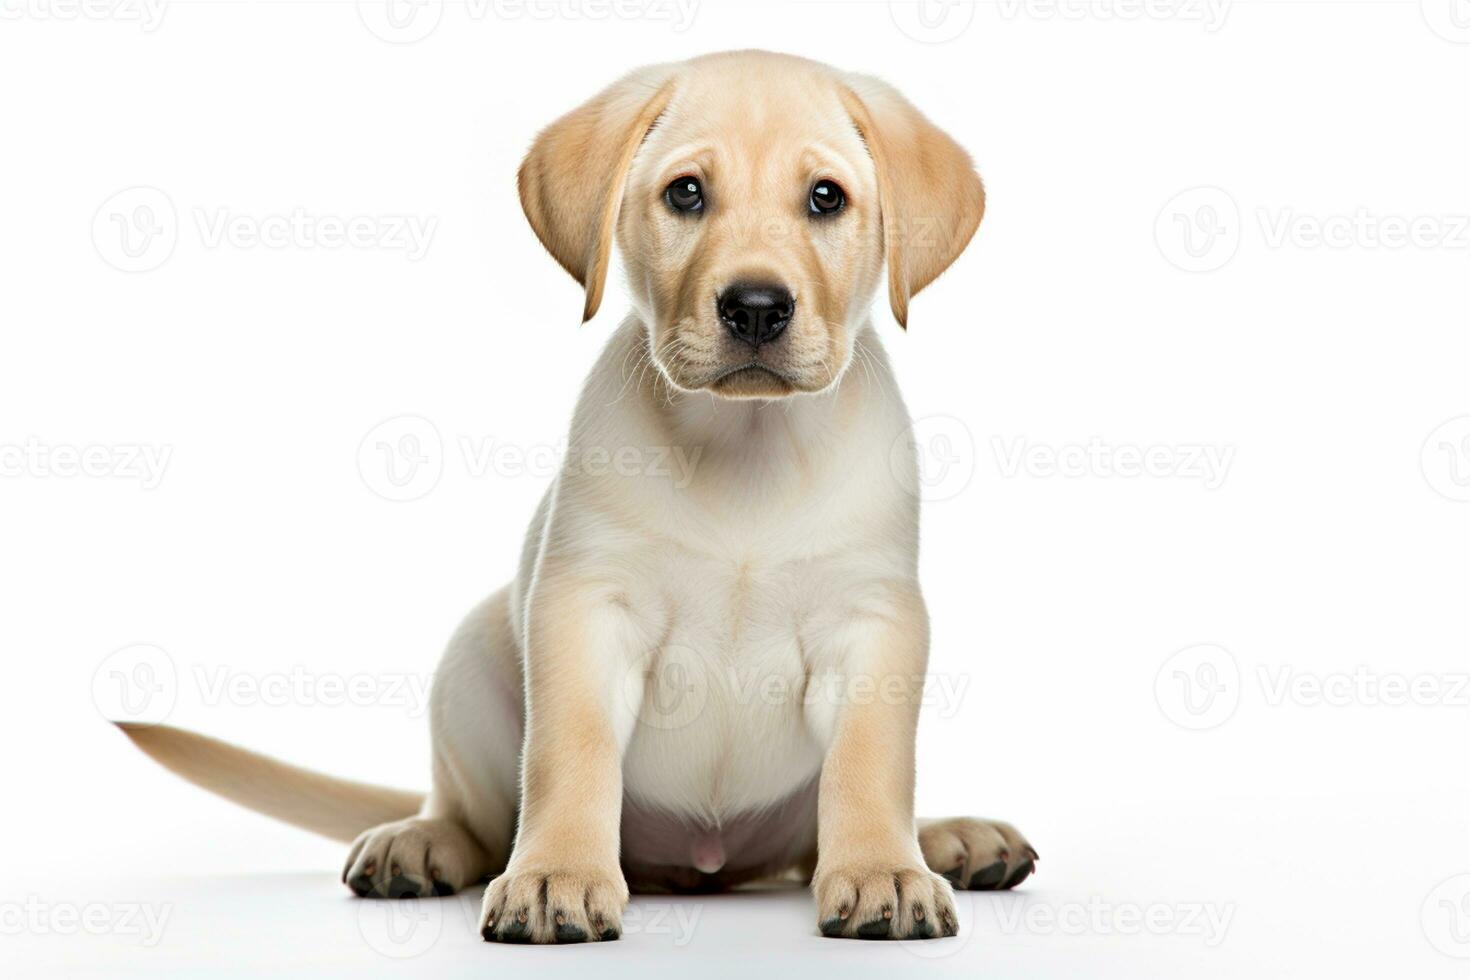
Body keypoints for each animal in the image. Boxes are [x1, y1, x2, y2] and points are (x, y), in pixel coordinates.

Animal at [120, 51, 1040, 940]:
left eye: (826, 198)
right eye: (686, 193)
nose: (755, 307)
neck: (746, 446)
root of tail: (710, 866)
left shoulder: (875, 625)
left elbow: (870, 765)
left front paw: (885, 869)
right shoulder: (583, 608)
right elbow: (572, 754)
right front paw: (556, 875)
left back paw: (950, 839)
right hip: (470, 659)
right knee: (479, 816)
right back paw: (420, 843)